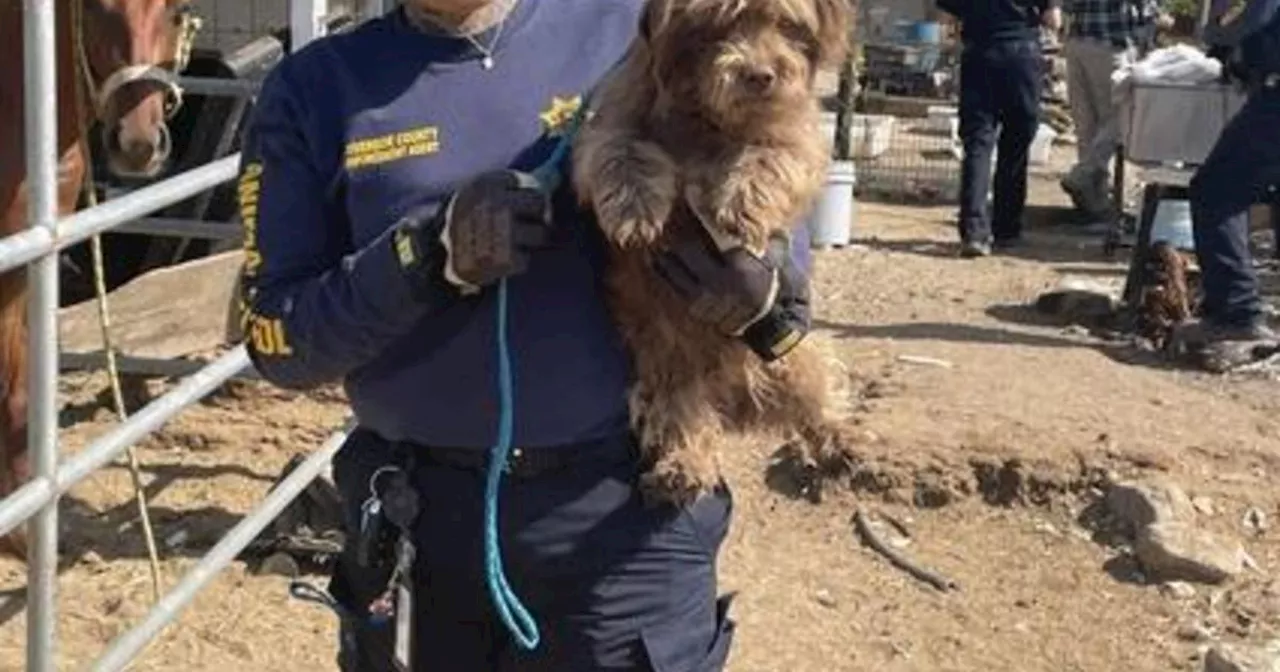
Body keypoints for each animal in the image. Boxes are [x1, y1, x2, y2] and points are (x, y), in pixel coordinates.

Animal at [0, 0, 200, 552]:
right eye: (92, 7)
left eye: (178, 12)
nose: (137, 142)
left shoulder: (28, 268)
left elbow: (19, 394)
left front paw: (22, 534)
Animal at [573, 0, 855, 501]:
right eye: (721, 21)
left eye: (786, 23)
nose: (760, 75)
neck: (708, 118)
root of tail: (734, 384)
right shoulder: (609, 125)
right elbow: (621, 150)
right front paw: (635, 209)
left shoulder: (795, 133)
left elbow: (774, 155)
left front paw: (742, 202)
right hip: (666, 372)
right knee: (685, 420)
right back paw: (682, 469)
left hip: (792, 351)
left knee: (819, 394)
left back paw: (841, 441)